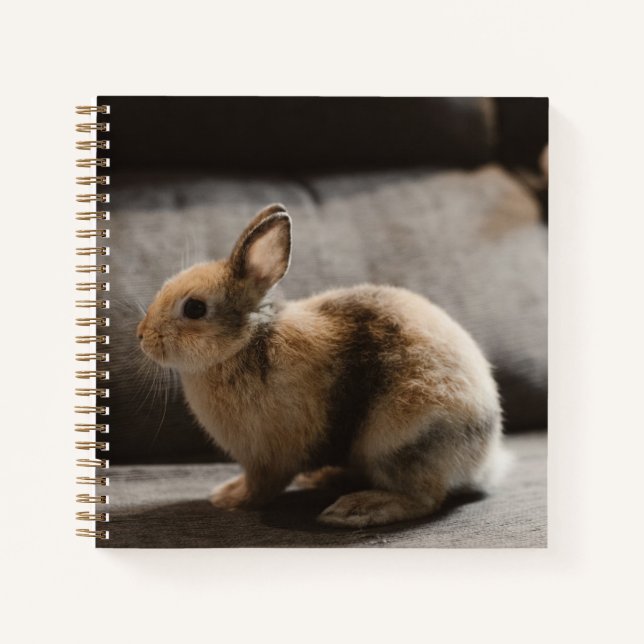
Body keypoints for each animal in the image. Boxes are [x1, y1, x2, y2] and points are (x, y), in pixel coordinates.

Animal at [137, 203, 507, 527]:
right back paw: (326, 478)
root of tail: (485, 458)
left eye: (195, 308)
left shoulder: (268, 457)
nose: (142, 336)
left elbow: (261, 486)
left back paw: (354, 509)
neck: (246, 342)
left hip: (398, 441)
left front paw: (229, 499)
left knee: (424, 498)